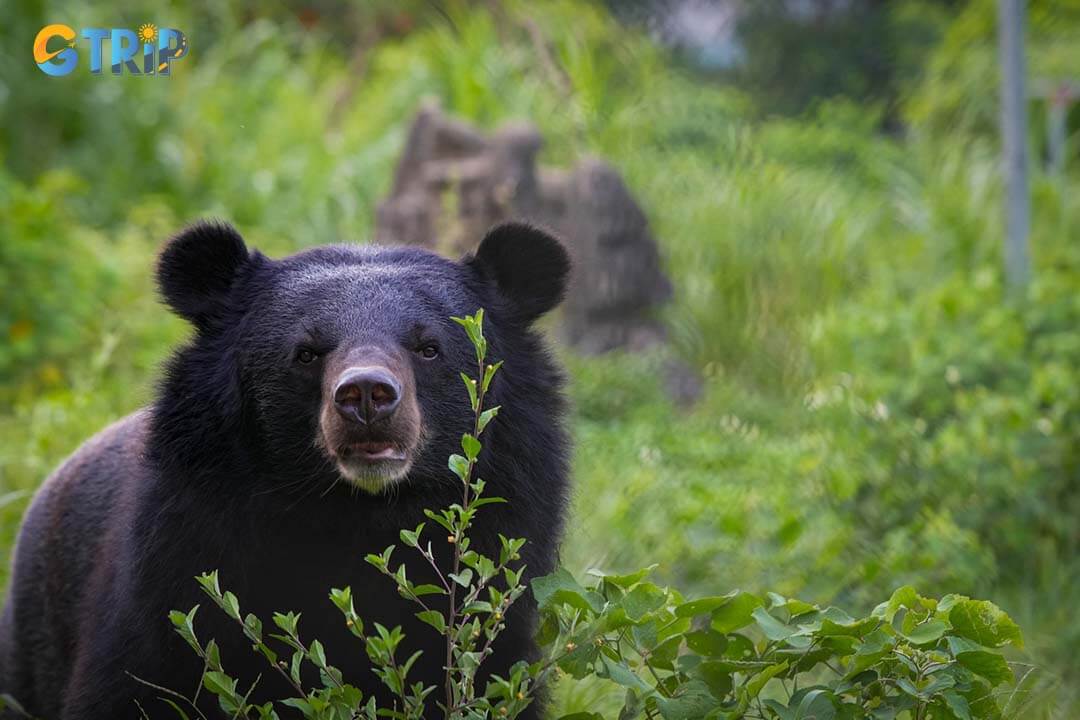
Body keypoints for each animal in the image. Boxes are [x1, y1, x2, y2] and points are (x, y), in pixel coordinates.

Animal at [0, 221, 574, 720]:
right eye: (307, 352)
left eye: (429, 347)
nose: (367, 395)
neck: (358, 513)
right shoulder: (176, 568)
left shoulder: (500, 576)